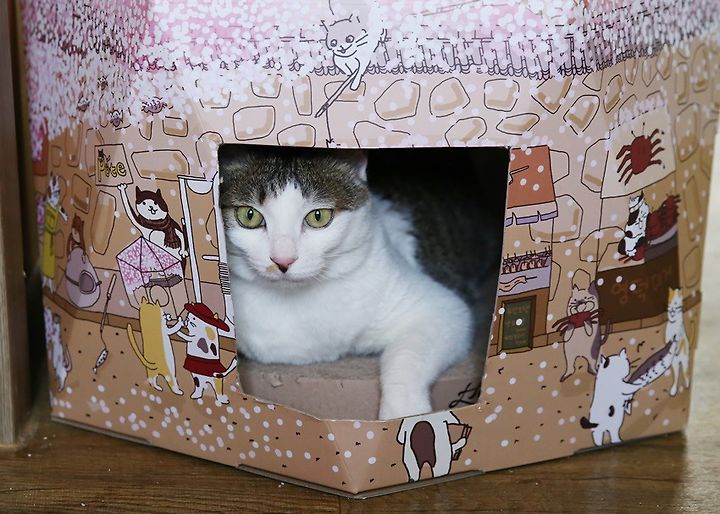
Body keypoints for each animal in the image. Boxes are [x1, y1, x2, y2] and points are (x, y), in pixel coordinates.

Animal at [220, 146, 503, 420]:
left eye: (319, 217)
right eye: (249, 215)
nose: (283, 260)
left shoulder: (443, 309)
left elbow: (407, 359)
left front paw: (404, 415)